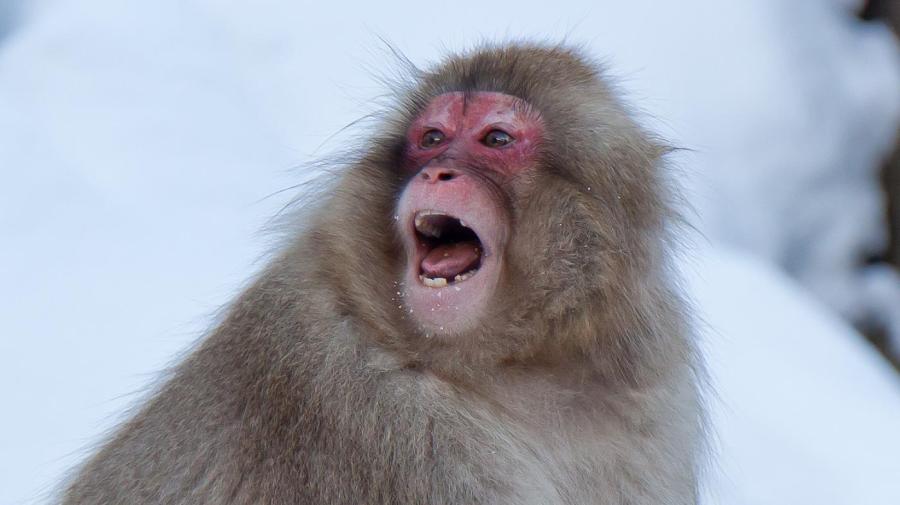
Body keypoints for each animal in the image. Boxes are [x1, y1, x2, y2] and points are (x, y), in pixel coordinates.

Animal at [58, 43, 705, 505]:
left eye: (496, 138)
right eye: (433, 138)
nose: (438, 171)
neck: (509, 366)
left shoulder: (653, 407)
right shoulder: (372, 420)